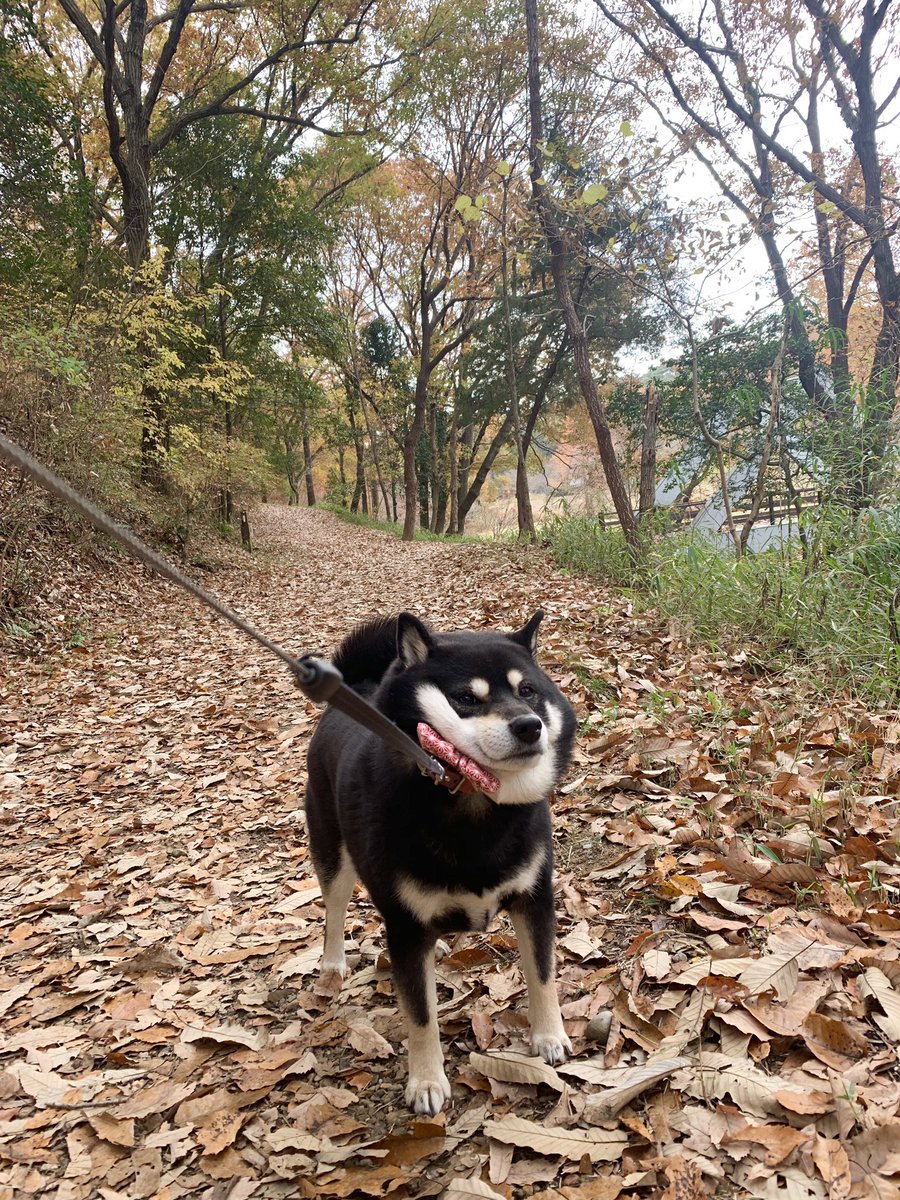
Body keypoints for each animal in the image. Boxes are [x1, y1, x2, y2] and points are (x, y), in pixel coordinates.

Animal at [307, 609, 578, 1113]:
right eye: (465, 698)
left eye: (528, 691)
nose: (529, 725)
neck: (473, 809)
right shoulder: (405, 930)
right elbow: (421, 1014)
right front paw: (427, 1081)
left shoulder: (535, 900)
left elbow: (542, 975)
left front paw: (549, 1036)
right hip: (333, 856)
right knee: (333, 911)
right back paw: (333, 965)